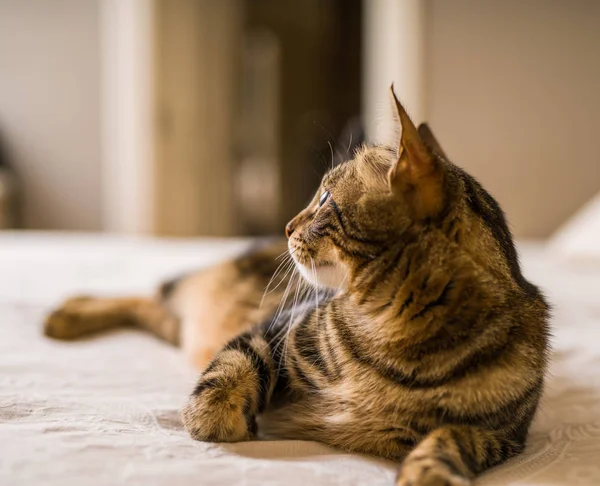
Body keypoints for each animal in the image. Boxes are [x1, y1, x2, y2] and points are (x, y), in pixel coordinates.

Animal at [43, 88, 548, 486]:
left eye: (323, 198)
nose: (287, 225)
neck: (393, 331)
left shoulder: (502, 436)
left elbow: (451, 438)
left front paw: (431, 471)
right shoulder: (273, 331)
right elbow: (227, 373)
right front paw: (219, 421)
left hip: (188, 325)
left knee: (153, 309)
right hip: (205, 298)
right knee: (150, 293)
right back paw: (67, 313)